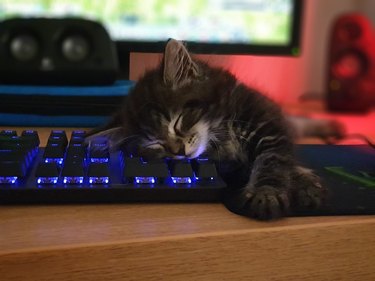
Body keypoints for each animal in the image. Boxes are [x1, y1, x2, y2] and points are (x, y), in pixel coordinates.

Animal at [89, 38, 342, 219]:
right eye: (155, 144)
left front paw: (269, 192)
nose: (178, 151)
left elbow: (274, 157)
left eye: (177, 121)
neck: (217, 132)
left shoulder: (264, 117)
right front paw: (287, 188)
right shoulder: (230, 165)